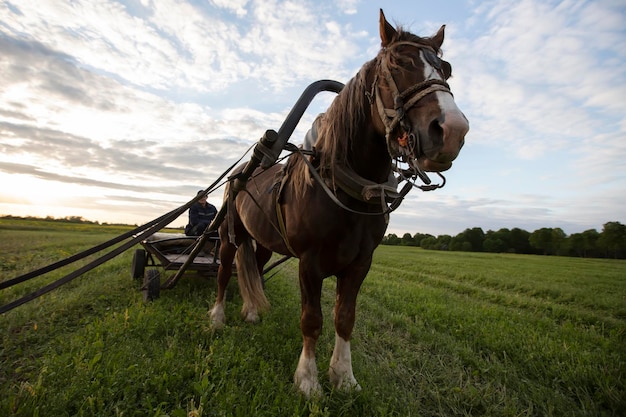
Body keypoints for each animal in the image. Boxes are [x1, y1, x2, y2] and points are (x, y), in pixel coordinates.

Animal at [210, 8, 468, 394]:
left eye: (446, 69)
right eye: (398, 62)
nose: (452, 130)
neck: (346, 187)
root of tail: (242, 172)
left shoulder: (361, 263)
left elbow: (345, 317)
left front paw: (344, 376)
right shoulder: (309, 263)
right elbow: (312, 319)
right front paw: (307, 380)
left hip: (264, 241)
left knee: (252, 265)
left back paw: (252, 311)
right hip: (230, 233)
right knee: (226, 270)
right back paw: (217, 317)